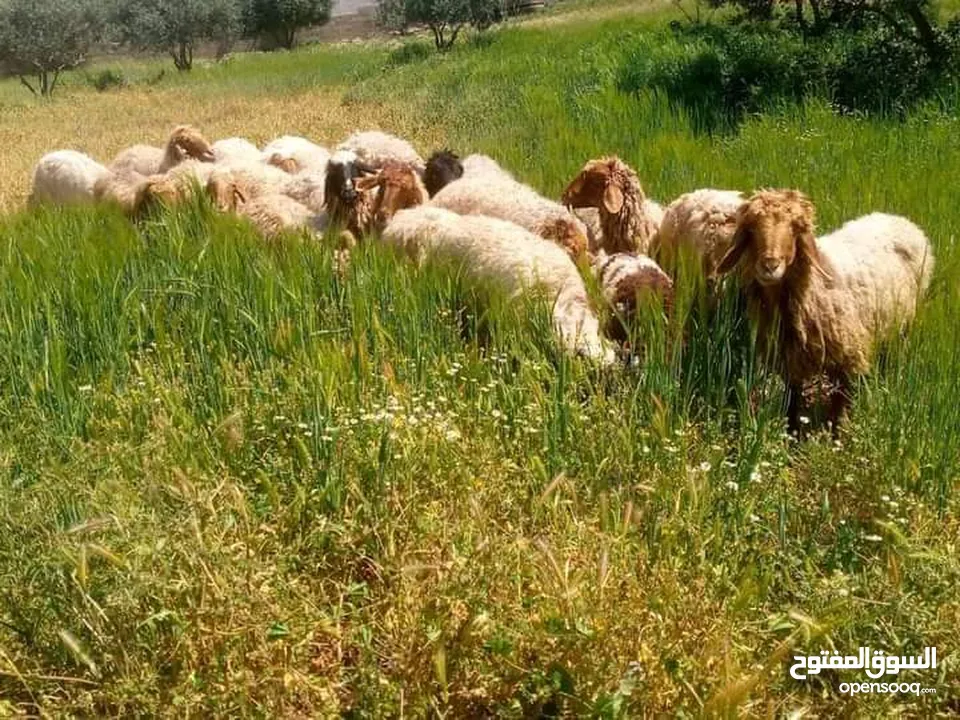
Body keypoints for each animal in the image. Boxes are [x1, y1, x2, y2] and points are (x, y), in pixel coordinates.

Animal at [716, 188, 932, 434]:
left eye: (795, 229)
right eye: (751, 230)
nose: (770, 266)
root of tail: (900, 220)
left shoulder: (849, 358)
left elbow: (839, 406)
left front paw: (837, 435)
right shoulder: (790, 362)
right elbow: (792, 404)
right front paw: (792, 435)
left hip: (905, 324)